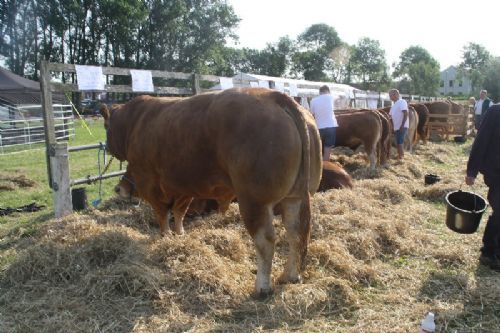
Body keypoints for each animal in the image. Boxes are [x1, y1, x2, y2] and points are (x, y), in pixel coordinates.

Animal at [99, 88, 322, 296]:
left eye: (105, 126)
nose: (118, 187)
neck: (136, 122)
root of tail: (275, 96)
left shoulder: (150, 183)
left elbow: (162, 214)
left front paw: (166, 236)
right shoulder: (185, 186)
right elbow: (179, 211)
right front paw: (179, 234)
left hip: (254, 200)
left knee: (266, 240)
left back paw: (262, 288)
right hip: (296, 196)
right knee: (296, 233)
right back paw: (290, 276)